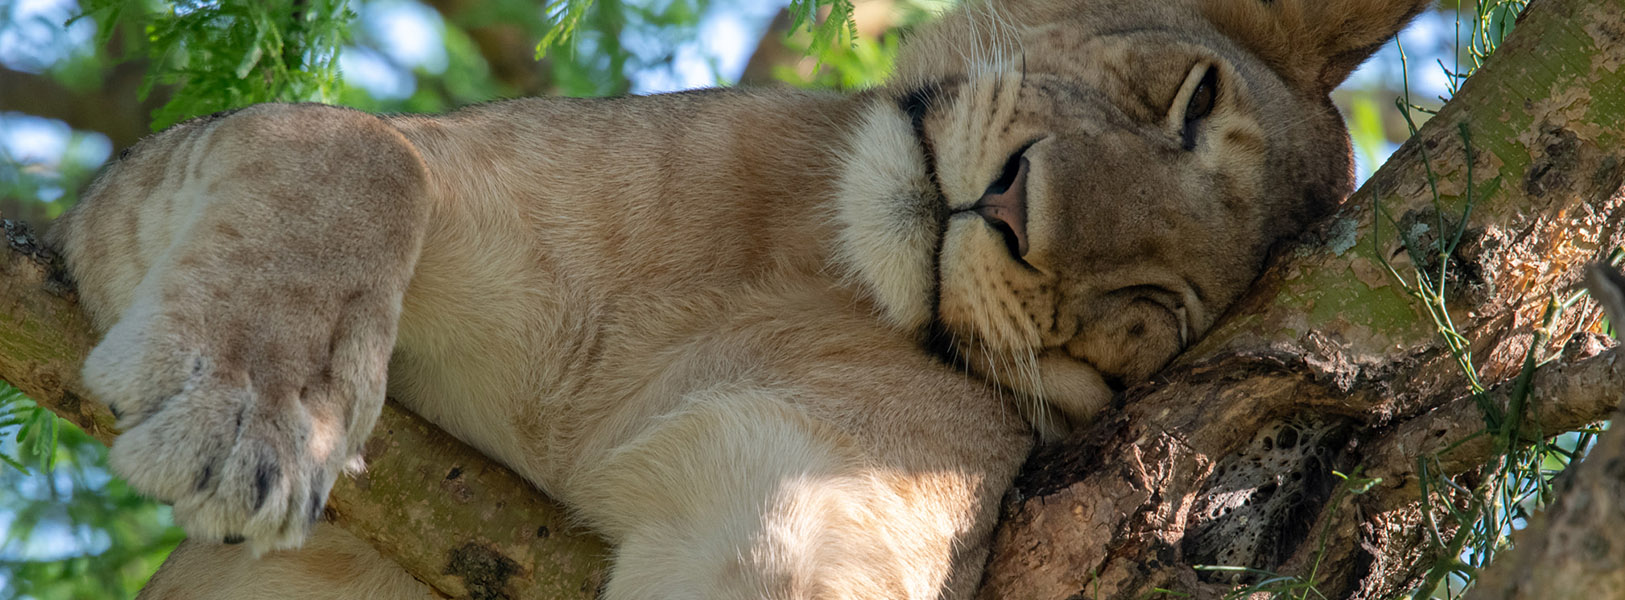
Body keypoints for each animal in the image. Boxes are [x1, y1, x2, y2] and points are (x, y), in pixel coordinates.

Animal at [47, 0, 1423, 595]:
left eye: (1162, 314)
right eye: (1188, 100)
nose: (1016, 213)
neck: (791, 263)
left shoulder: (815, 495)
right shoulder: (108, 219)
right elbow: (355, 149)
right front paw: (241, 422)